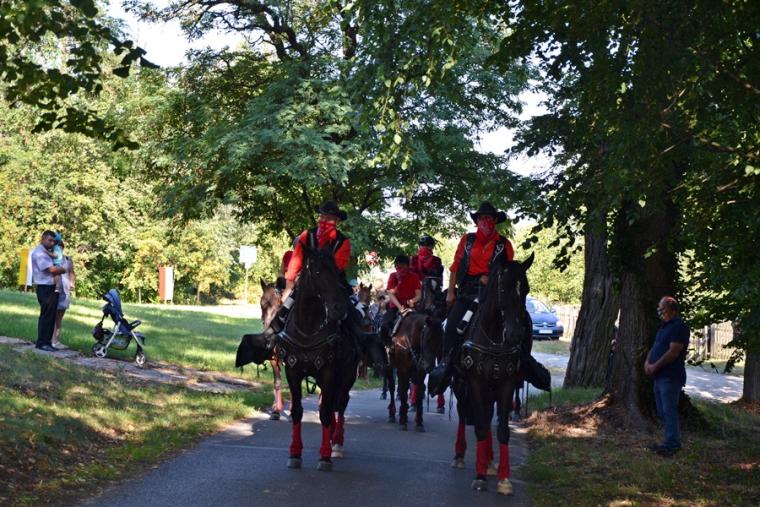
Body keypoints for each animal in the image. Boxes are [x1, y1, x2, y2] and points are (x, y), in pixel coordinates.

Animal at [277, 241, 357, 471]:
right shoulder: (293, 371)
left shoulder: (329, 373)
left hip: (347, 376)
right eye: (318, 272)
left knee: (340, 404)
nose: (339, 309)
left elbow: (325, 414)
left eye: (337, 272)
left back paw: (336, 442)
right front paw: (295, 453)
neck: (308, 329)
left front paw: (325, 456)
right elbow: (297, 411)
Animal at [453, 253, 534, 496]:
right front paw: (479, 477)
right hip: (460, 384)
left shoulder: (506, 384)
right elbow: (479, 426)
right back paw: (460, 456)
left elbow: (502, 429)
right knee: (464, 414)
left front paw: (504, 479)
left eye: (526, 289)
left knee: (488, 415)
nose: (516, 334)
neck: (495, 336)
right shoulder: (475, 382)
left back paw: (489, 462)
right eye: (504, 288)